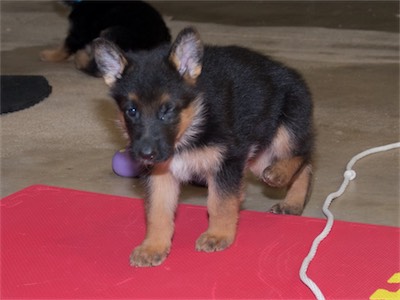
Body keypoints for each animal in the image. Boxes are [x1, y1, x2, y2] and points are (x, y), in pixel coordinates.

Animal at [40, 0, 170, 75]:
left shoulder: (78, 33)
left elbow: (65, 47)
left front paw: (50, 55)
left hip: (111, 32)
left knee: (97, 69)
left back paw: (80, 58)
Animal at [93, 27, 312, 268]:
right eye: (132, 111)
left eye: (167, 110)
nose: (145, 154)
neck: (192, 124)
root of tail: (290, 72)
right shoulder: (160, 175)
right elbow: (157, 212)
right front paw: (153, 246)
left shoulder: (227, 161)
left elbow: (219, 203)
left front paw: (218, 235)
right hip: (257, 156)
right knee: (303, 164)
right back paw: (293, 202)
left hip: (283, 132)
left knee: (303, 156)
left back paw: (285, 186)